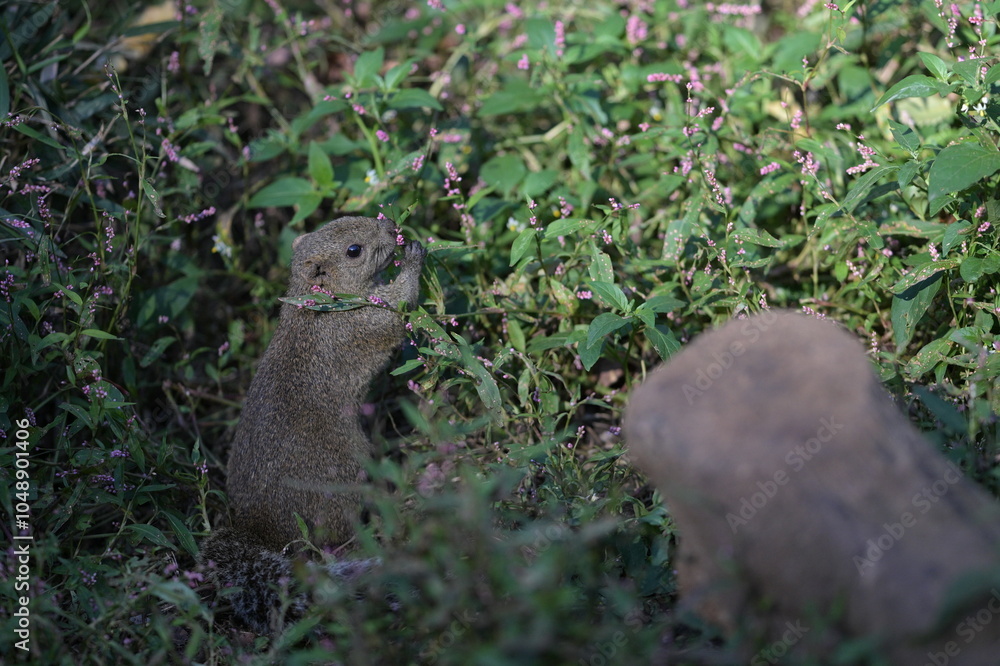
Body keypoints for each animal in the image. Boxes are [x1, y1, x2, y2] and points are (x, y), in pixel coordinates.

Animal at [201, 215, 426, 634]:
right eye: (353, 250)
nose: (392, 227)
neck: (315, 303)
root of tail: (257, 529)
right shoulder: (360, 324)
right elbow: (396, 307)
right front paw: (414, 259)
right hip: (343, 483)